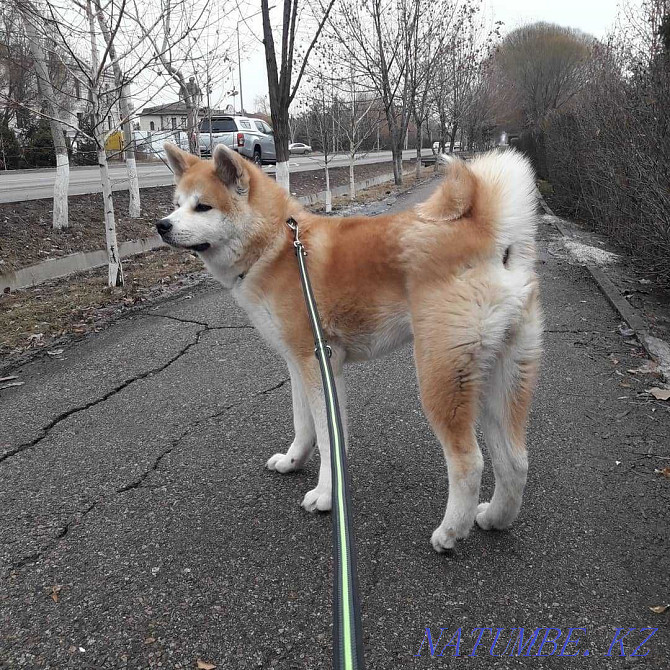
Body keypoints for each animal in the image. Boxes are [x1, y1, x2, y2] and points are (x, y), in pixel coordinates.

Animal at [156, 144, 540, 552]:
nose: (162, 225)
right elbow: (304, 425)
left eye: (203, 207)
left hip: (441, 377)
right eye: (176, 204)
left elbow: (328, 438)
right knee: (515, 461)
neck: (277, 246)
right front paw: (293, 461)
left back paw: (450, 531)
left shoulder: (318, 363)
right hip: (501, 379)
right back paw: (495, 518)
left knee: (470, 463)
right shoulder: (299, 364)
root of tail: (488, 235)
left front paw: (326, 495)